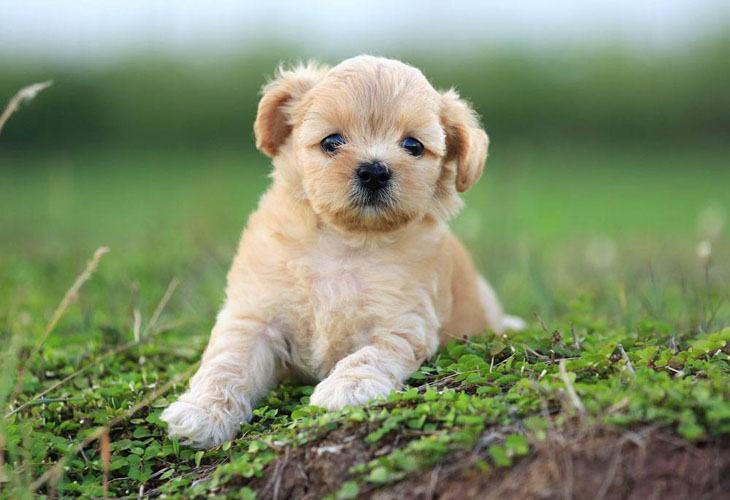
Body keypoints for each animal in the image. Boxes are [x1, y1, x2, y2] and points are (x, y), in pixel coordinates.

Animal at [160, 55, 524, 450]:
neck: (346, 241)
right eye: (332, 141)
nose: (375, 170)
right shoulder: (255, 315)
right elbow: (228, 363)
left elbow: (369, 355)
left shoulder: (402, 323)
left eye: (413, 145)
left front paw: (347, 389)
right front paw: (202, 411)